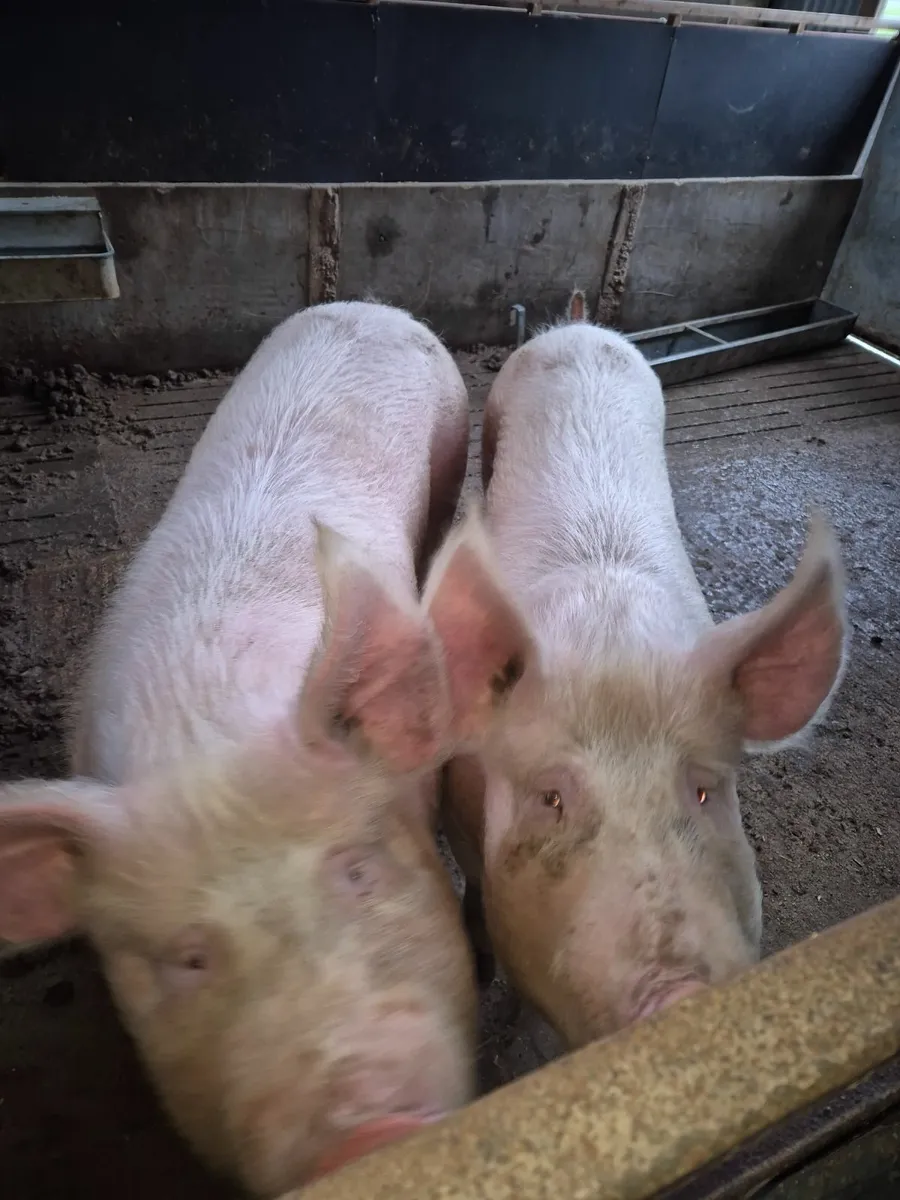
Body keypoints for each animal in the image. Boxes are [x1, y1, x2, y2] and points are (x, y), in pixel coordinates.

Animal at [419, 293, 847, 1050]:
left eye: (706, 791)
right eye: (551, 798)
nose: (681, 997)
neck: (610, 639)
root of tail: (580, 326)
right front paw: (484, 974)